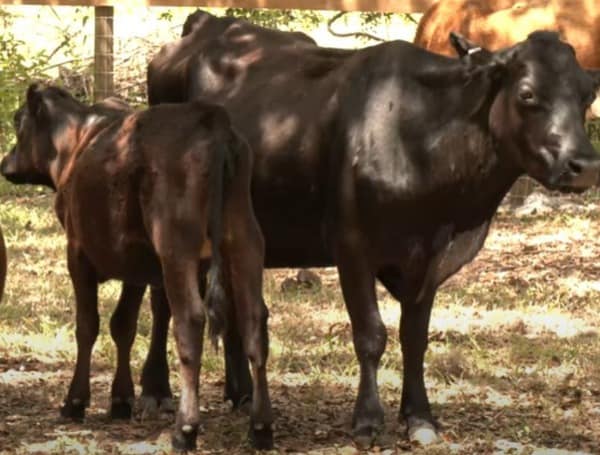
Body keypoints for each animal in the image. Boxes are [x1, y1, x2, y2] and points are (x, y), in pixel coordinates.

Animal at [1, 85, 274, 452]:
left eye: (18, 120)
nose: (5, 163)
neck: (78, 139)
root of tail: (211, 119)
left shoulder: (78, 252)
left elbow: (87, 326)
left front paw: (75, 401)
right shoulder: (134, 260)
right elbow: (123, 325)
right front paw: (120, 399)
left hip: (176, 246)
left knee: (190, 320)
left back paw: (185, 428)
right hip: (245, 241)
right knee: (253, 318)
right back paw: (260, 427)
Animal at [148, 21, 600, 446]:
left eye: (586, 95)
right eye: (527, 94)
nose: (584, 165)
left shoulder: (431, 257)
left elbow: (414, 338)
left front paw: (419, 416)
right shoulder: (352, 247)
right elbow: (370, 334)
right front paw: (367, 419)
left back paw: (241, 393)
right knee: (163, 306)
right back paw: (155, 392)